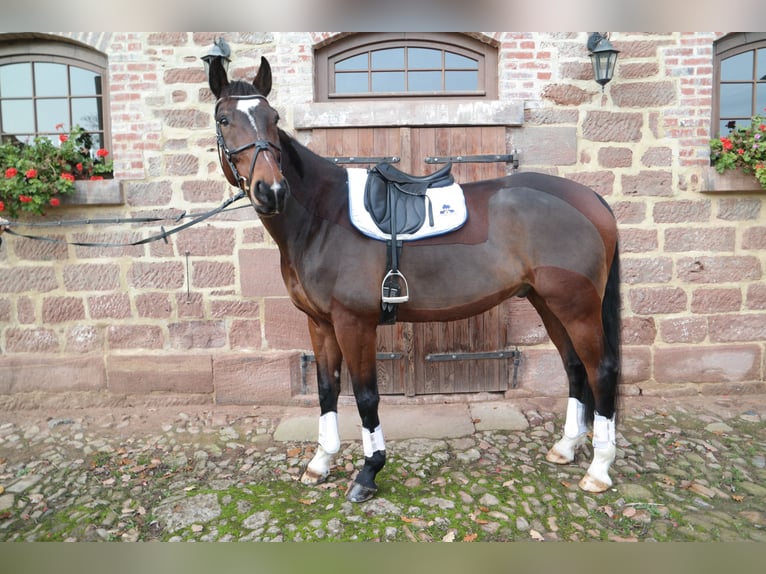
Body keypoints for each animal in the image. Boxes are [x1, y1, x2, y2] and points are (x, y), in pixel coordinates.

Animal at [206, 55, 624, 504]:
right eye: (225, 119)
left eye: (273, 118)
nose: (271, 191)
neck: (323, 217)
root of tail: (590, 199)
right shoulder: (319, 324)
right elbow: (326, 389)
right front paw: (320, 462)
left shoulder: (355, 324)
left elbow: (366, 397)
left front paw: (368, 472)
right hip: (548, 304)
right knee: (575, 367)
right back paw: (566, 447)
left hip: (576, 308)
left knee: (601, 370)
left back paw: (599, 469)